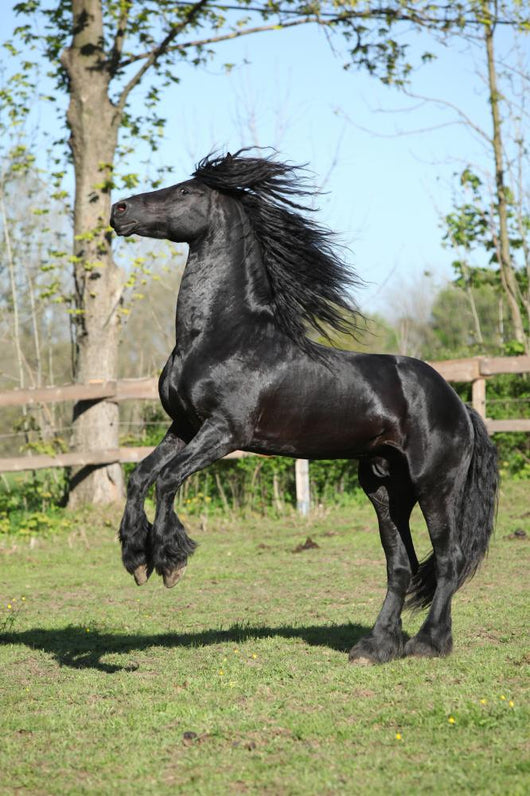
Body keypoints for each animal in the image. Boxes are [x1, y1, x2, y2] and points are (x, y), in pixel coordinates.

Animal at [110, 150, 498, 664]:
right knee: (401, 565)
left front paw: (170, 561)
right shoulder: (183, 426)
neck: (221, 336)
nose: (119, 211)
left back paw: (428, 644)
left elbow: (168, 480)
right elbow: (140, 477)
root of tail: (457, 404)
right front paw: (136, 559)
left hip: (436, 485)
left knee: (449, 559)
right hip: (384, 490)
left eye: (186, 191)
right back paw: (374, 647)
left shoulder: (223, 432)